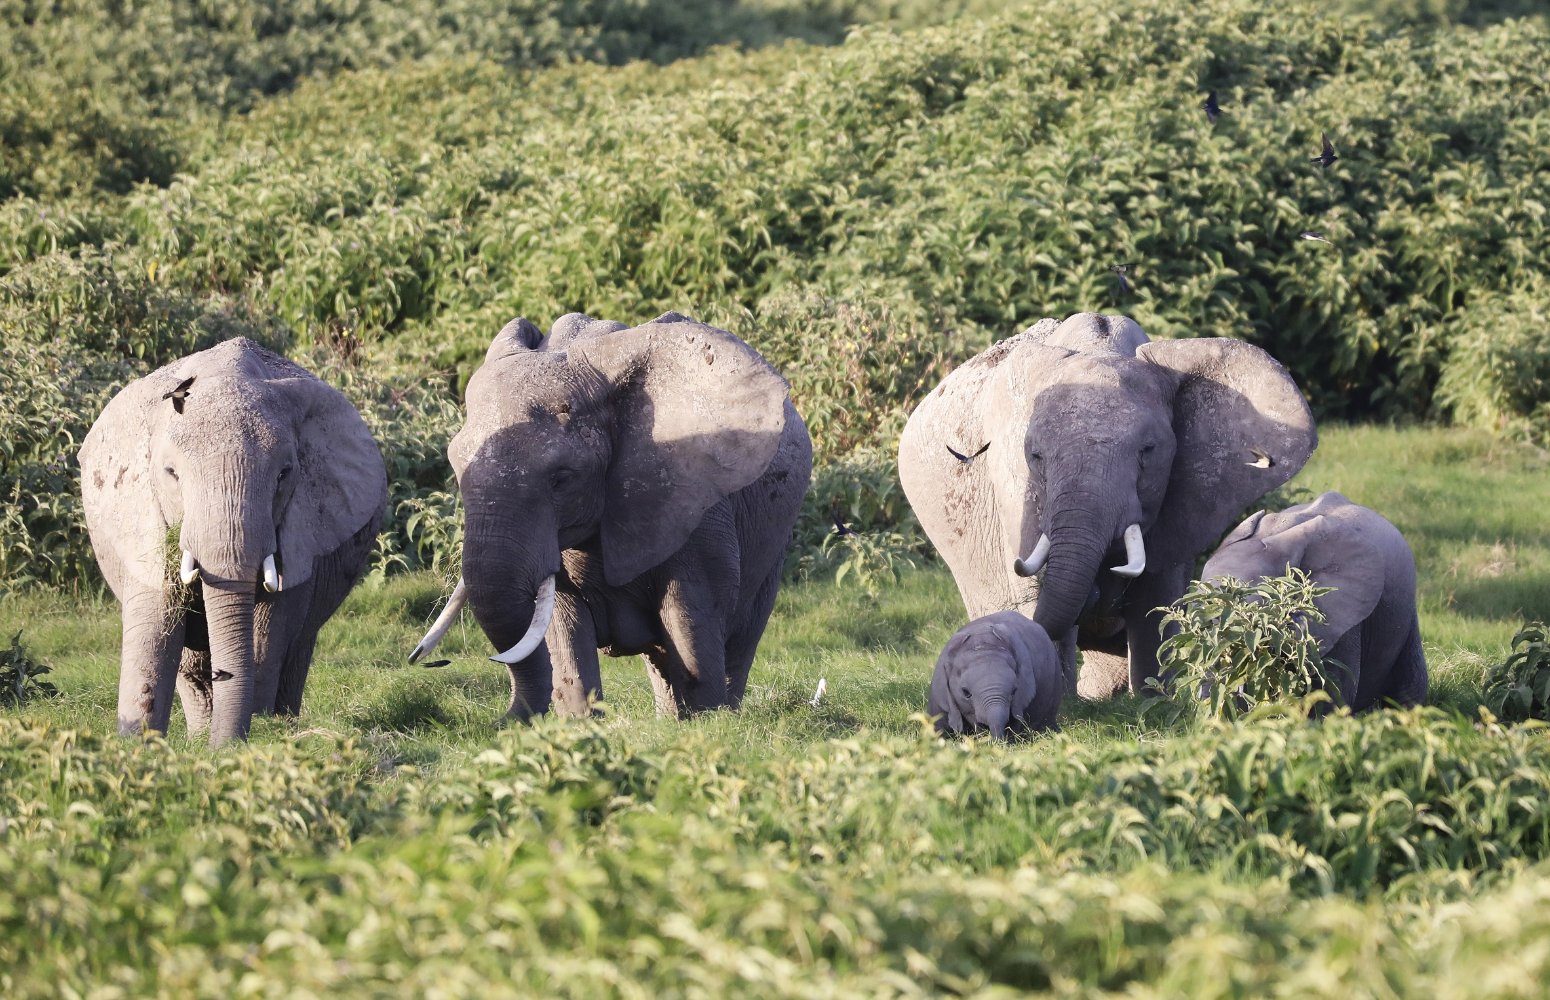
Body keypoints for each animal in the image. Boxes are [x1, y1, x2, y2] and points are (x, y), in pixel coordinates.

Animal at [79, 337, 387, 745]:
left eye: (284, 474)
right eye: (171, 474)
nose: (221, 749)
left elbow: (268, 631)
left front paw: (256, 737)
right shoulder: (144, 517)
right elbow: (155, 622)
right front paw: (136, 746)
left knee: (296, 650)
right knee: (192, 668)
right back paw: (199, 737)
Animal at [410, 311, 812, 719]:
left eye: (561, 478)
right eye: (455, 466)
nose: (427, 662)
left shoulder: (697, 499)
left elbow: (692, 610)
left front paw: (706, 722)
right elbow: (561, 622)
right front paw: (581, 723)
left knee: (741, 634)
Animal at [899, 312, 1317, 696]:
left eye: (1147, 451)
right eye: (1035, 456)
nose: (1099, 591)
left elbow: (1155, 601)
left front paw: (1155, 700)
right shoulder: (1015, 492)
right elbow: (1036, 588)